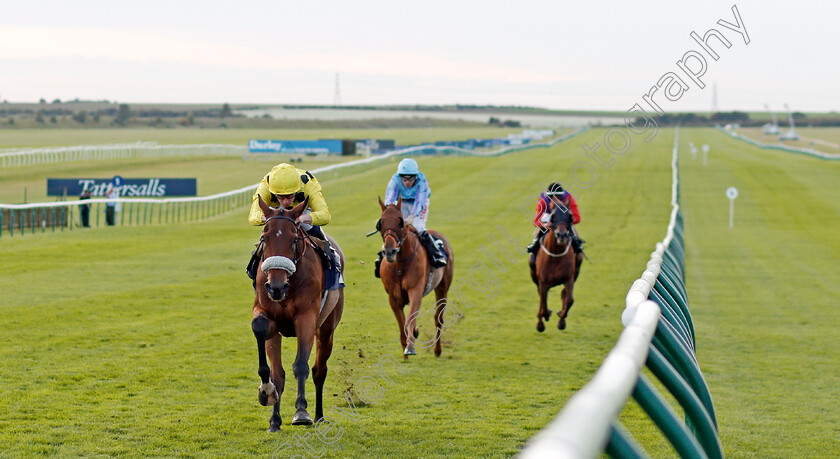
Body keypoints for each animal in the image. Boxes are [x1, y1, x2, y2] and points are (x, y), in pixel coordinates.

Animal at [251, 196, 342, 434]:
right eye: (264, 238)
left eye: (293, 240)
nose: (276, 286)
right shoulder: (269, 317)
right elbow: (260, 331)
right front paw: (266, 393)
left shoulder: (306, 318)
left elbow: (301, 364)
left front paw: (301, 411)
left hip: (327, 329)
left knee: (319, 371)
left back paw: (318, 416)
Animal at [376, 198, 452, 360]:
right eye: (381, 224)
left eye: (401, 223)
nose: (390, 251)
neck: (400, 265)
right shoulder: (393, 297)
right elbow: (402, 323)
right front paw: (405, 349)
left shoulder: (415, 291)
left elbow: (410, 319)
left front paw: (410, 347)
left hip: (442, 288)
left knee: (438, 318)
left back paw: (437, 350)